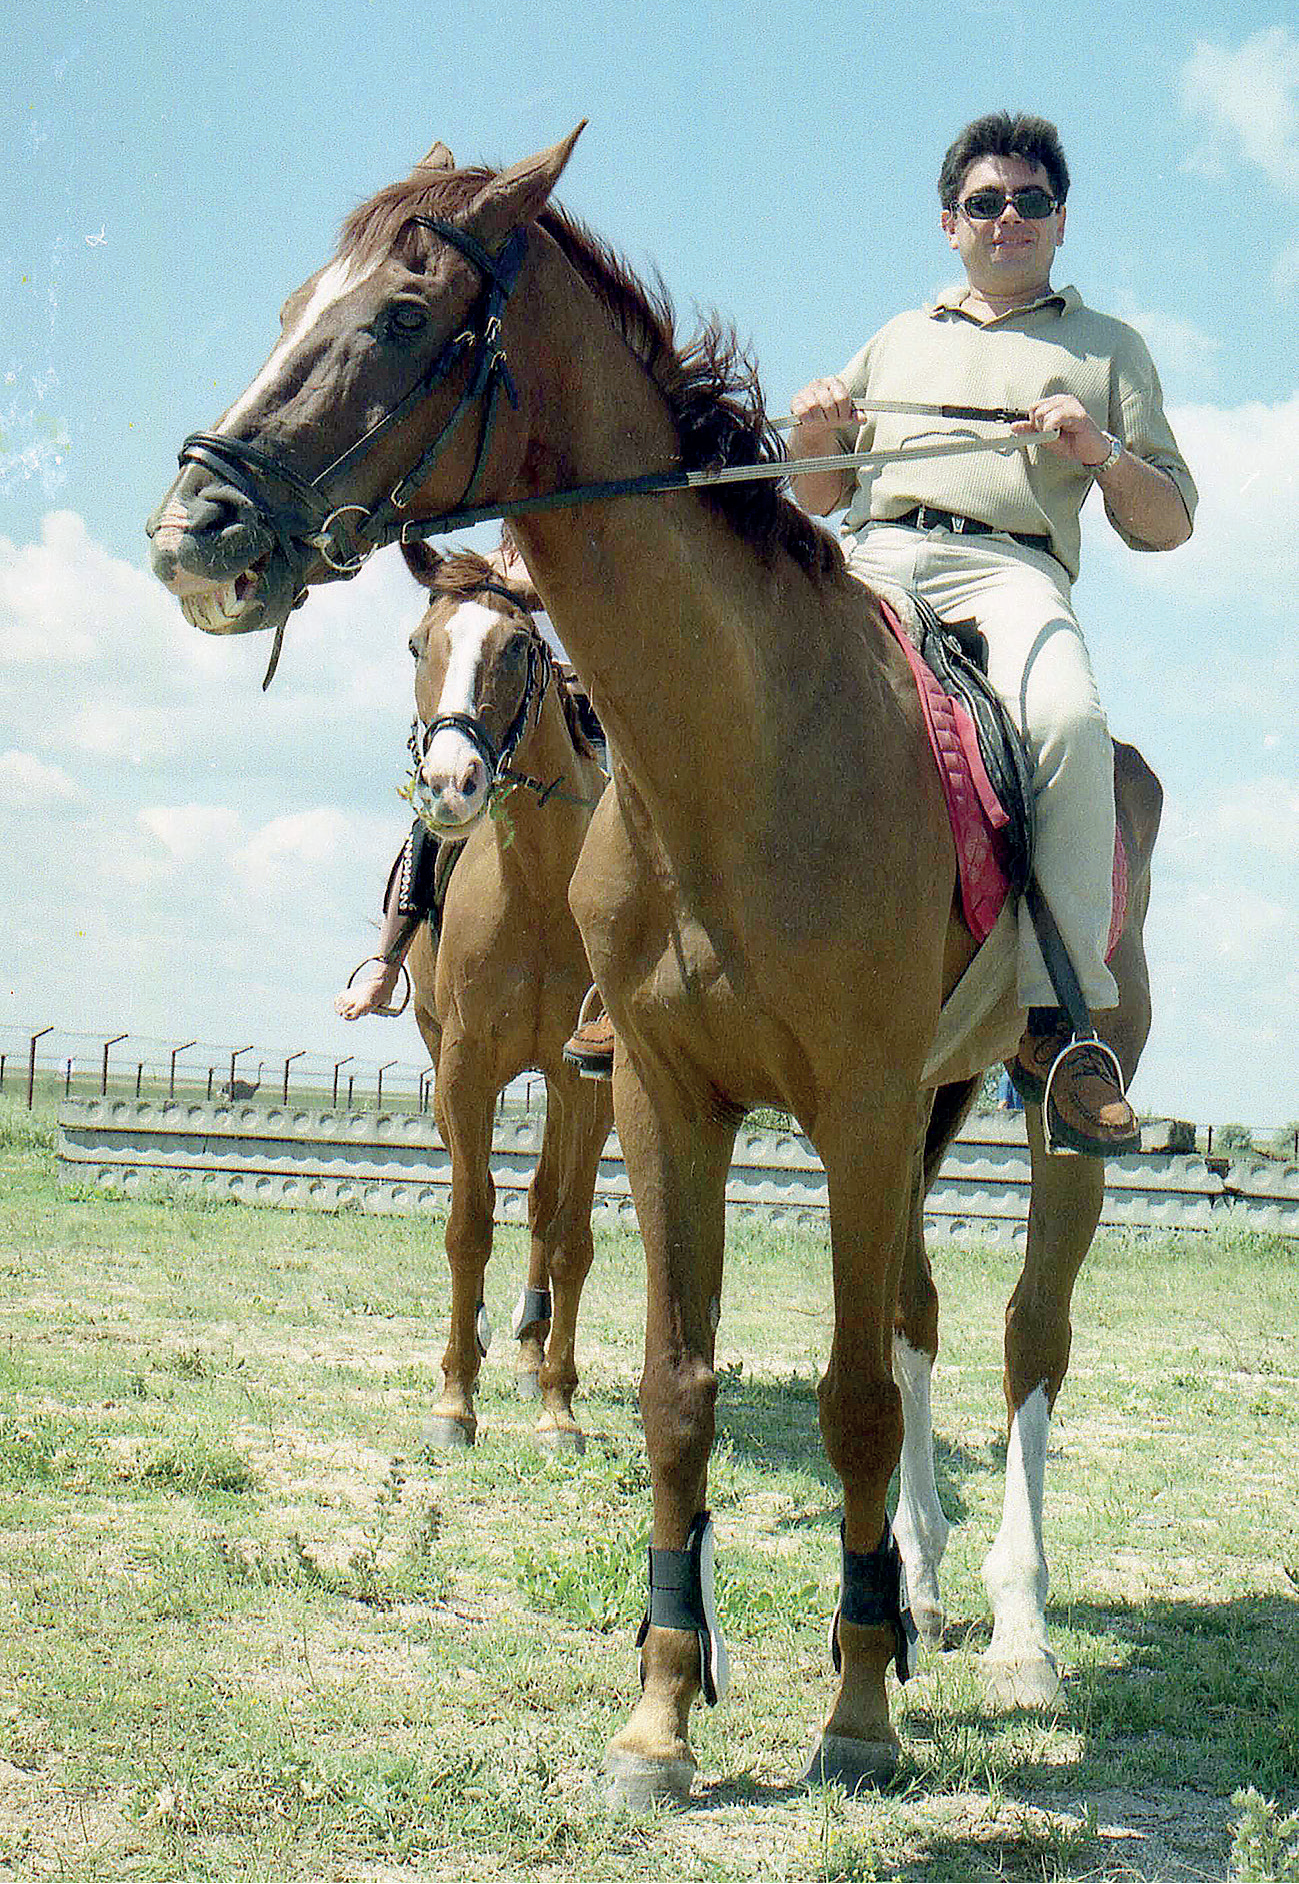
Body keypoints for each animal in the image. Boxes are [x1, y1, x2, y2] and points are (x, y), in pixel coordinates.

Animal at [149, 129, 1153, 1793]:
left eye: (401, 319)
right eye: (299, 304)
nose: (195, 532)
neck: (740, 748)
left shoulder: (855, 1107)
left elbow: (850, 1398)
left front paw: (855, 1712)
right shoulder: (662, 1097)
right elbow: (675, 1390)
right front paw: (663, 1709)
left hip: (1043, 1104)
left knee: (1025, 1338)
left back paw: (1014, 1629)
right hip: (929, 1110)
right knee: (923, 1314)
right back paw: (921, 1582)